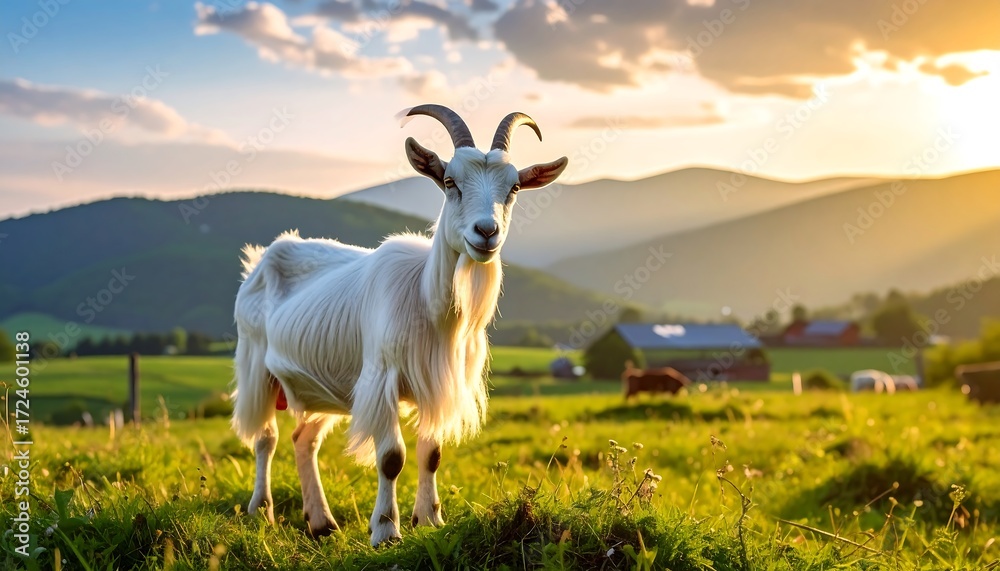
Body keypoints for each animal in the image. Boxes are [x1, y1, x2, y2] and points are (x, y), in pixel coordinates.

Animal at [231, 105, 567, 546]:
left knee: (303, 441)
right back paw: (262, 511)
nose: (486, 232)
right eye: (449, 182)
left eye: (513, 187)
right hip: (256, 365)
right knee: (265, 439)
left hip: (327, 384)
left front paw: (429, 519)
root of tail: (260, 260)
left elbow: (432, 454)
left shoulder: (436, 382)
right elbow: (392, 457)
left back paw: (322, 523)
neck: (430, 305)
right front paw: (386, 530)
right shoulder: (382, 377)